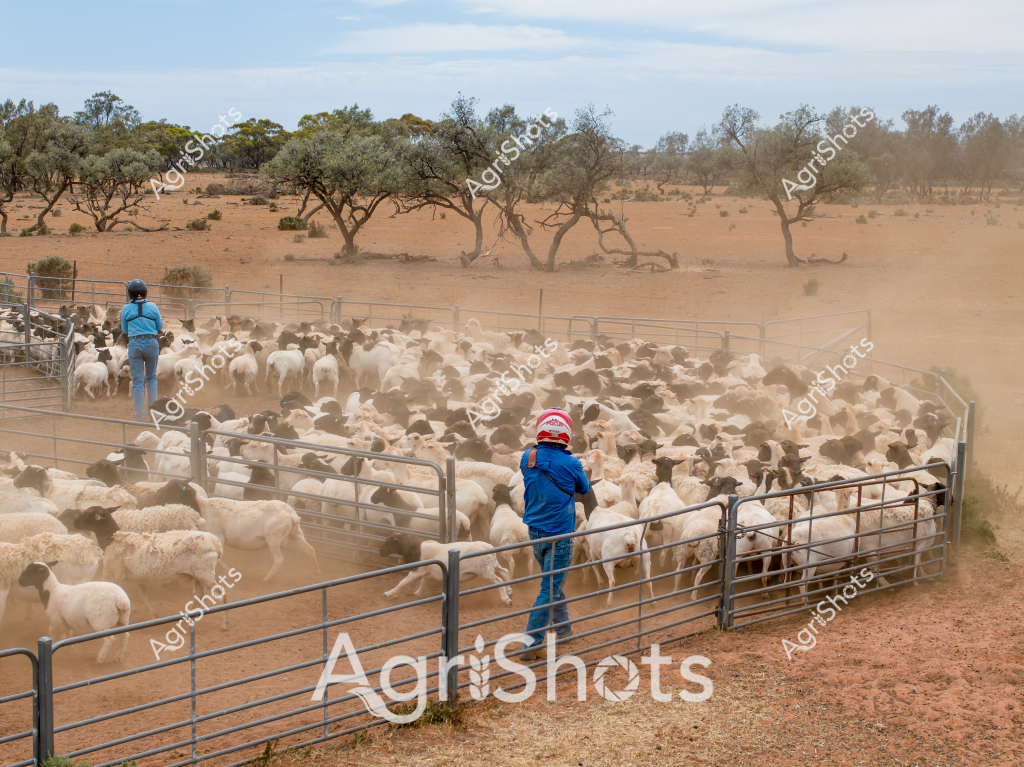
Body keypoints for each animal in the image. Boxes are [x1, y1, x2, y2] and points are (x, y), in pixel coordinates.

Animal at [378, 532, 511, 605]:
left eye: (388, 543)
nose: (380, 552)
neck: (415, 549)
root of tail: (489, 547)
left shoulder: (417, 570)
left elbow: (403, 582)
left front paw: (388, 594)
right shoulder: (427, 570)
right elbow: (423, 581)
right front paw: (417, 593)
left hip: (484, 570)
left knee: (498, 580)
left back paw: (506, 599)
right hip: (491, 565)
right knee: (505, 572)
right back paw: (509, 590)